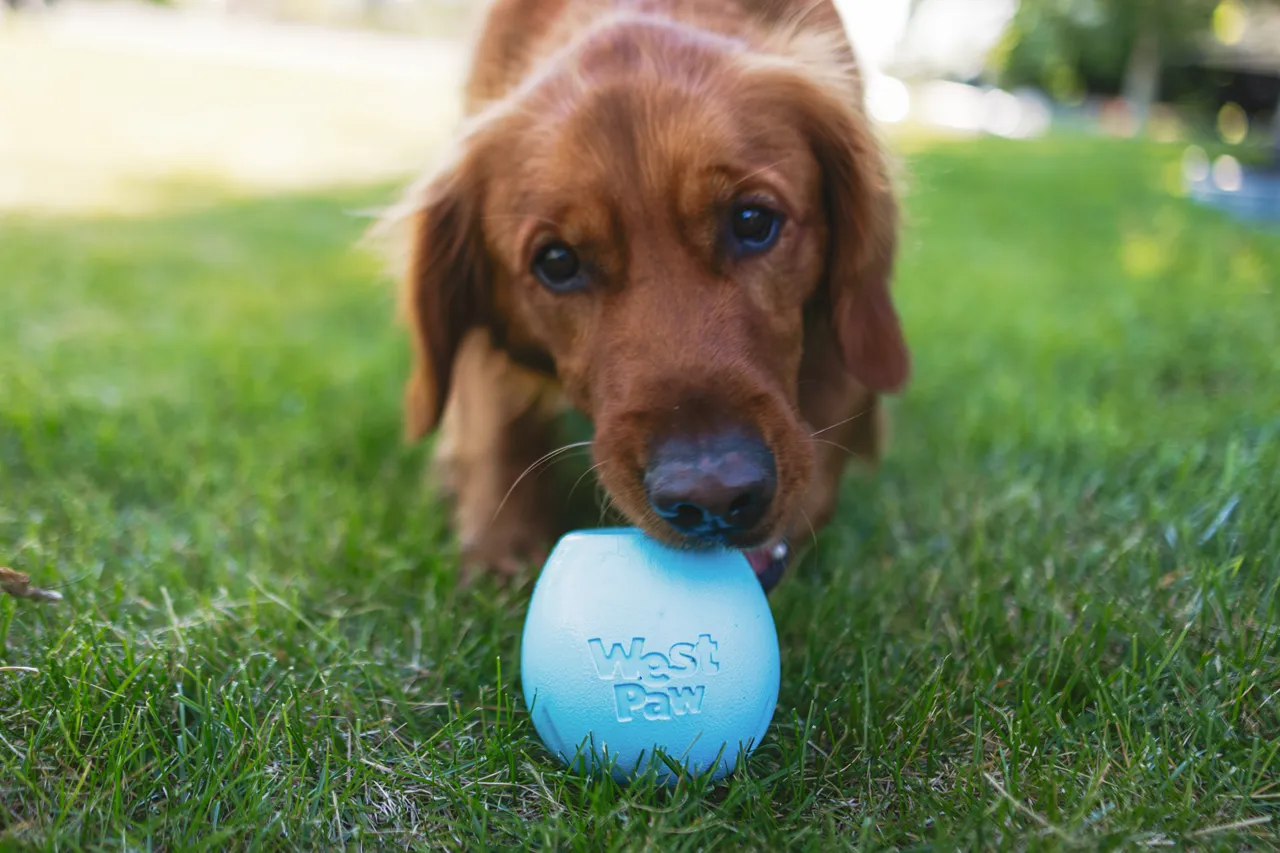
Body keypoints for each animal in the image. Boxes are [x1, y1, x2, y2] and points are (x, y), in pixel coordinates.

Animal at [389, 0, 911, 589]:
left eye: (753, 220)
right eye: (557, 261)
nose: (714, 498)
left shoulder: (852, 316)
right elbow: (497, 424)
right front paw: (501, 553)